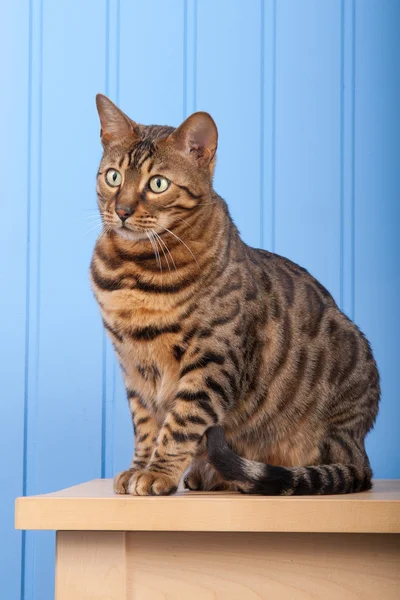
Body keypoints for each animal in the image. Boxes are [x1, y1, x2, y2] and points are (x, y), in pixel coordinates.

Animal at [91, 95, 382, 496]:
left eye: (158, 184)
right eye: (113, 177)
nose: (121, 210)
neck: (136, 268)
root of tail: (360, 446)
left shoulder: (212, 357)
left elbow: (181, 422)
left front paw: (158, 472)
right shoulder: (134, 364)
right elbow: (146, 424)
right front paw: (139, 467)